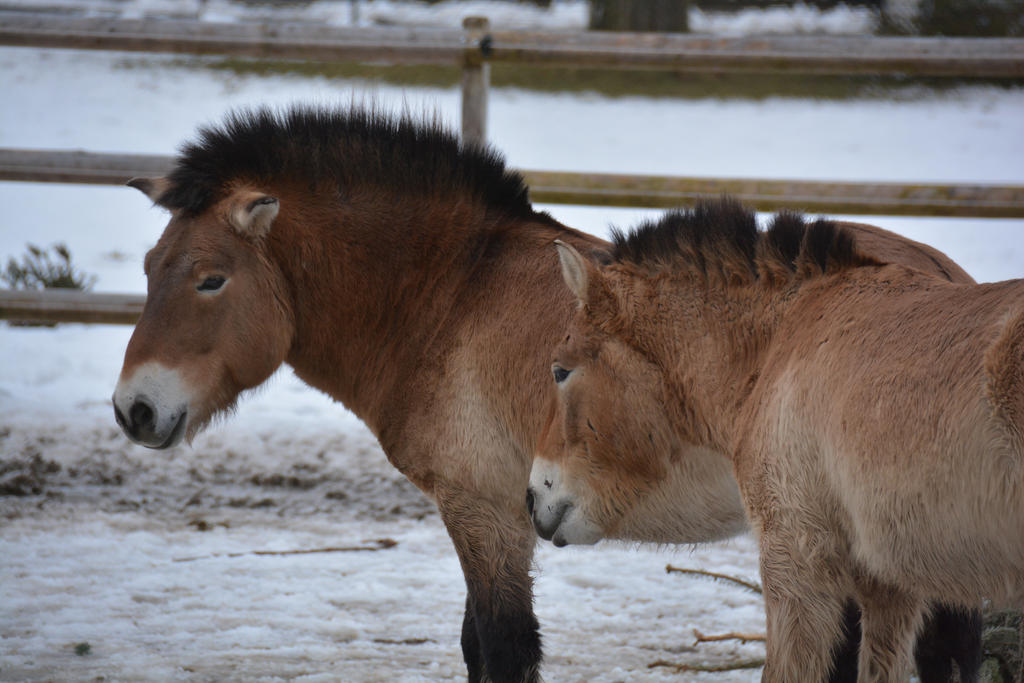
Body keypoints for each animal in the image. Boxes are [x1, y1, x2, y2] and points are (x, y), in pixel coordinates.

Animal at [113, 104, 610, 679]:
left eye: (211, 280)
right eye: (148, 268)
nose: (134, 409)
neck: (459, 295)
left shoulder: (484, 509)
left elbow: (503, 646)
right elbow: (475, 643)